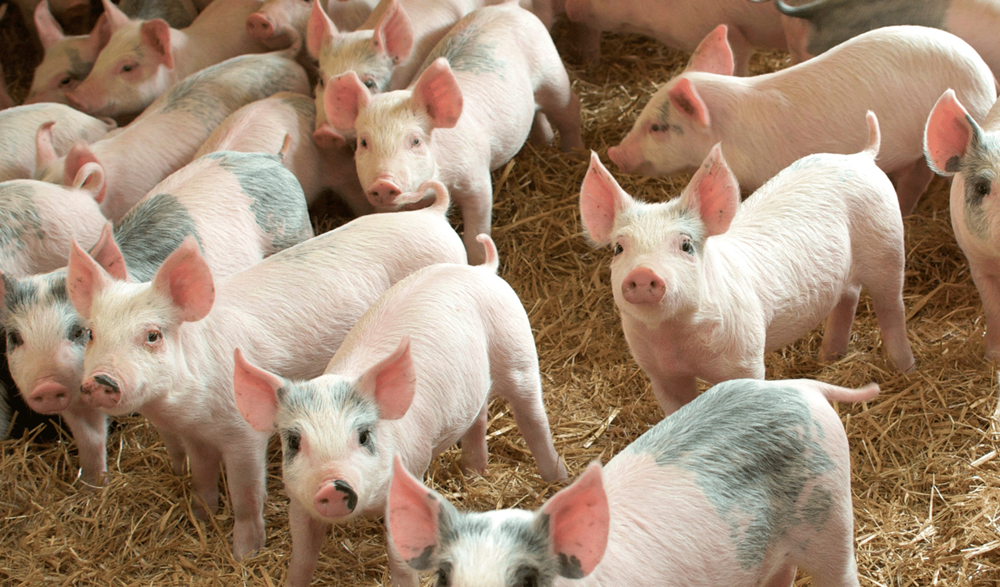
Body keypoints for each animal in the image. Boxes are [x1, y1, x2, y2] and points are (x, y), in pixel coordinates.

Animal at [1, 149, 312, 486]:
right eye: (14, 337)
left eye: (78, 332)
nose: (46, 387)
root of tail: (266, 157)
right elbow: (91, 439)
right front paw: (93, 485)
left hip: (295, 232)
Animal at [65, 181, 466, 558]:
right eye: (90, 333)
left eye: (152, 335)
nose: (100, 380)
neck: (187, 410)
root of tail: (432, 214)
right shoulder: (195, 436)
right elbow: (202, 477)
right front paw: (200, 516)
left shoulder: (243, 434)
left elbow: (245, 493)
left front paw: (244, 554)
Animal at [233, 233, 565, 587]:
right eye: (294, 441)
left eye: (364, 435)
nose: (333, 486)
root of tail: (483, 270)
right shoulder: (298, 499)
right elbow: (302, 556)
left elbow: (401, 560)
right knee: (479, 417)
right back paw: (472, 472)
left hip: (518, 353)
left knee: (532, 417)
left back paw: (559, 478)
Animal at [325, 4, 583, 263]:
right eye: (363, 143)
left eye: (416, 141)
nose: (383, 182)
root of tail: (510, 7)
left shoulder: (477, 177)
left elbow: (476, 230)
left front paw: (478, 262)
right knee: (537, 114)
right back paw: (546, 143)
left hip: (553, 77)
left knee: (570, 110)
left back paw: (573, 152)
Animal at [582, 113, 914, 415]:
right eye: (619, 248)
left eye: (686, 245)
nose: (642, 273)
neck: (675, 337)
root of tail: (862, 157)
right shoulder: (660, 373)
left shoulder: (745, 357)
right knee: (849, 296)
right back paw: (828, 358)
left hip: (888, 242)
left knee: (891, 306)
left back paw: (905, 369)